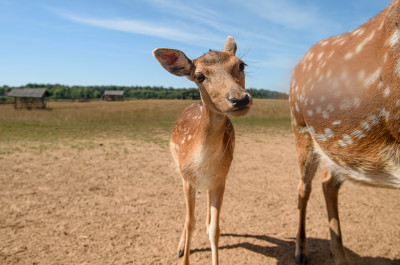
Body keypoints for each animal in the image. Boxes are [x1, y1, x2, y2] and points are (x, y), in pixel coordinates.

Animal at [152, 35, 250, 264]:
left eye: (241, 65)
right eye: (199, 76)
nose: (239, 98)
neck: (203, 163)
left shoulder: (221, 179)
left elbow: (216, 229)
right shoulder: (187, 178)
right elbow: (190, 223)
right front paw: (184, 255)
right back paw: (180, 247)